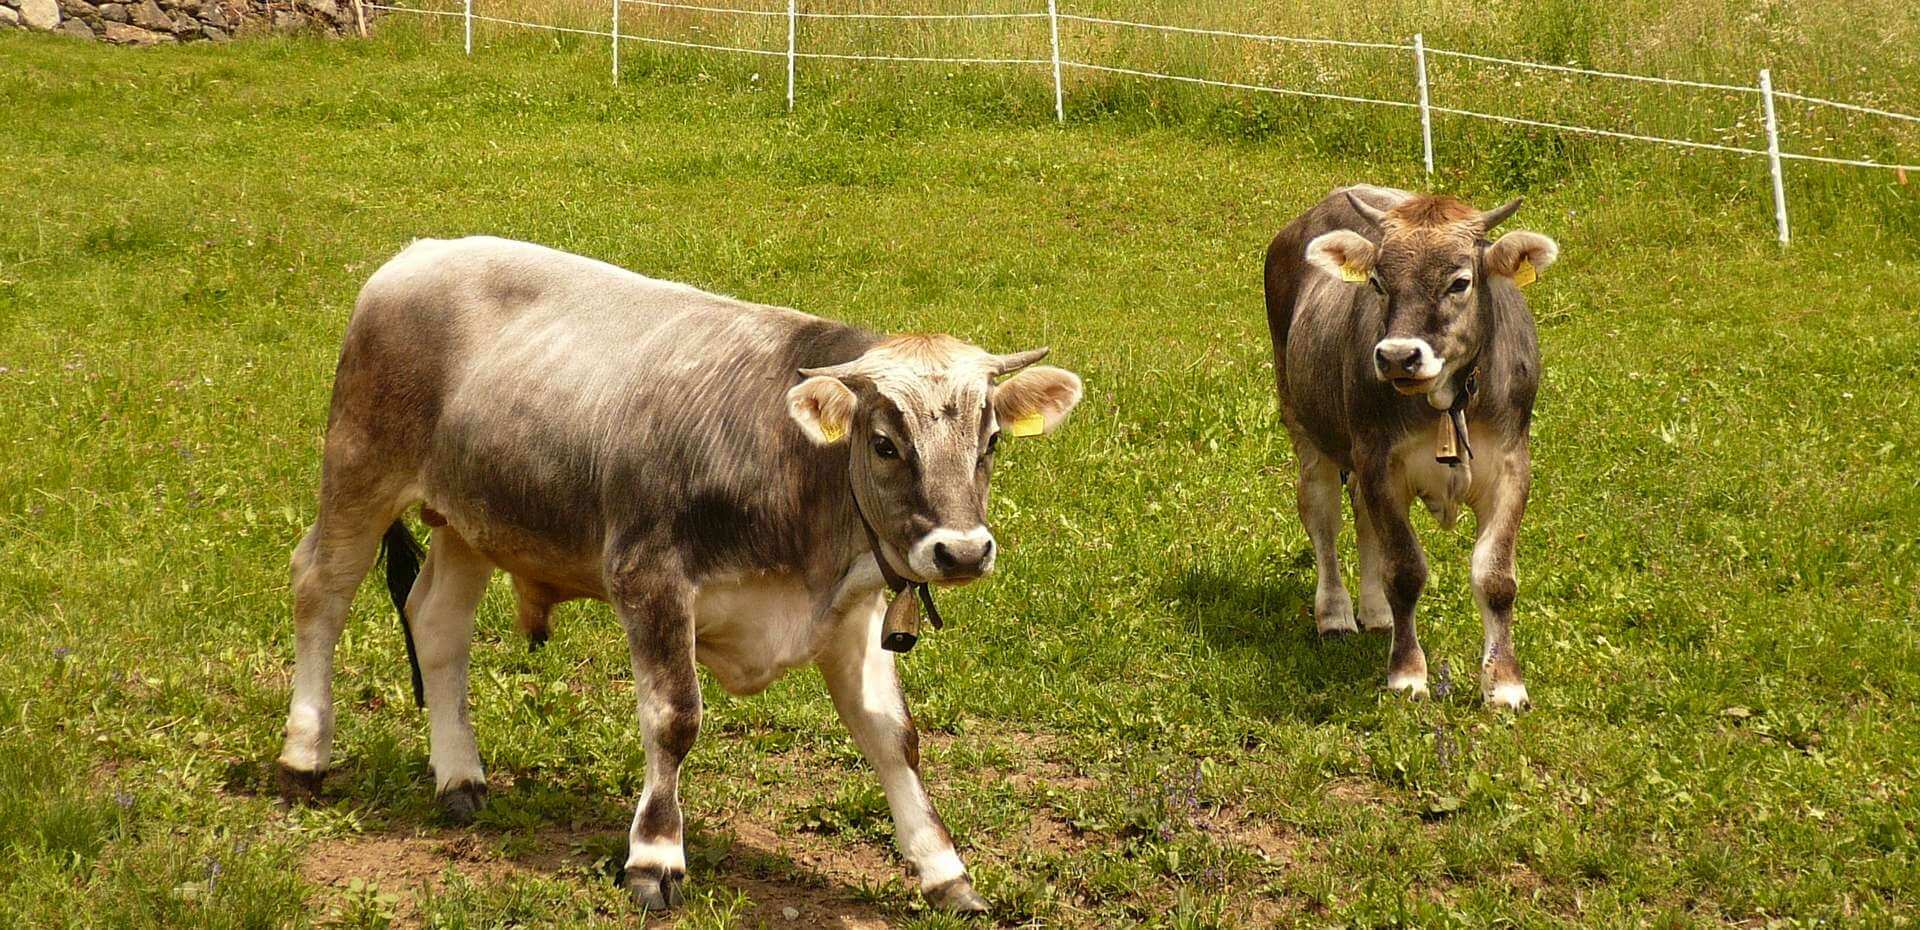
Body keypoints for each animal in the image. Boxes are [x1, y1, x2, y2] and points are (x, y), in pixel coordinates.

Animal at [272, 236, 1090, 910]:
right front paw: (655, 857)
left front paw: (944, 870)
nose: (962, 551)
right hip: (360, 466)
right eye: (886, 443)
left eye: (990, 441)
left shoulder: (851, 613)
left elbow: (895, 736)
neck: (789, 465)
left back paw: (460, 777)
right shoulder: (650, 579)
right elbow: (674, 718)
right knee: (321, 589)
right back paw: (304, 755)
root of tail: (420, 253)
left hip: (474, 518)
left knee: (437, 623)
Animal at [1259, 185, 1559, 703]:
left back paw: (1377, 614)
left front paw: (1504, 684)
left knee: (1363, 519)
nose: (1398, 356)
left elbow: (1496, 577)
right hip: (1305, 423)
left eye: (1460, 282)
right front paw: (1406, 674)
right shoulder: (1381, 461)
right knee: (1323, 516)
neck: (1448, 401)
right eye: (1378, 281)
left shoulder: (1512, 466)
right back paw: (1336, 613)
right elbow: (1404, 569)